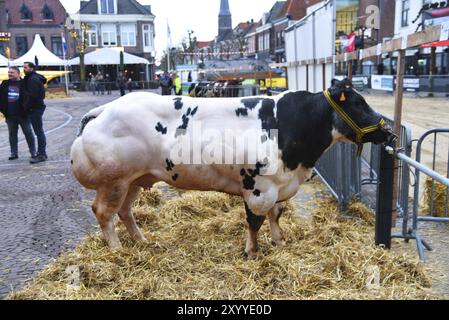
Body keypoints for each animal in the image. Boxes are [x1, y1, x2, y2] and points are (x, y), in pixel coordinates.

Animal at [71, 79, 392, 258]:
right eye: (358, 104)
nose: (387, 131)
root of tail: (105, 109)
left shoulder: (279, 186)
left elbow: (277, 215)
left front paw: (279, 241)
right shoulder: (258, 186)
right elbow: (254, 221)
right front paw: (252, 252)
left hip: (134, 180)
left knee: (125, 211)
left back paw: (142, 240)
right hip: (113, 180)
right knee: (103, 212)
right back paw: (117, 250)